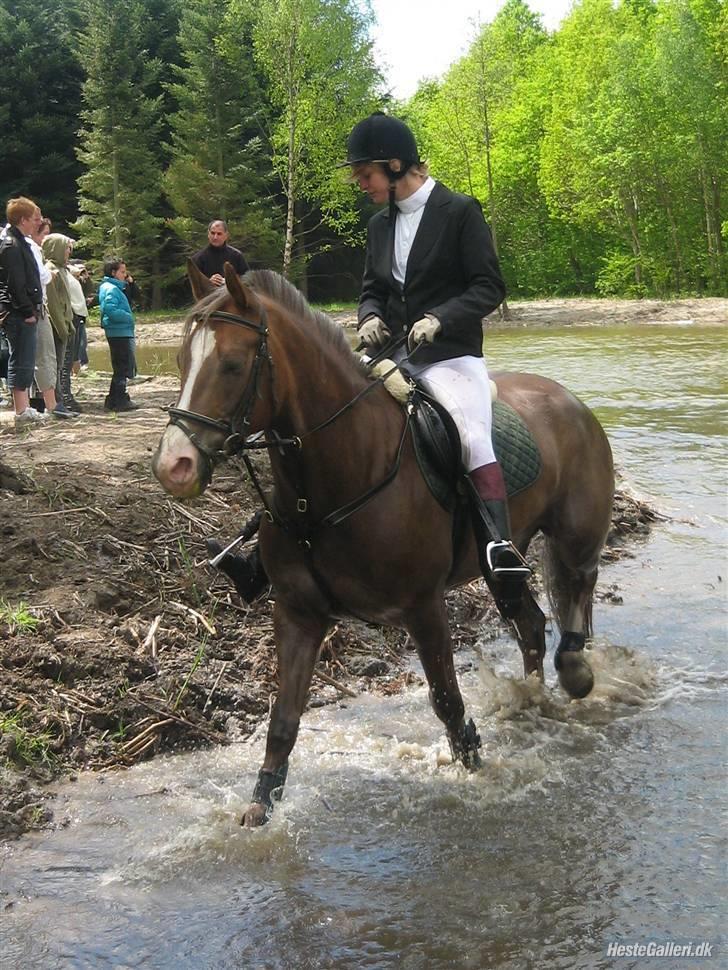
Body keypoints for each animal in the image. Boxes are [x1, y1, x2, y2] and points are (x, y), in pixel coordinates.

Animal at [152, 262, 616, 824]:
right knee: (528, 622)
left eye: (234, 365)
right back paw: (530, 701)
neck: (331, 483)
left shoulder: (424, 607)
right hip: (502, 564)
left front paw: (477, 774)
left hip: (575, 537)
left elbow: (448, 703)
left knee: (579, 588)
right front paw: (258, 810)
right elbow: (283, 720)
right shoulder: (298, 614)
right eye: (182, 361)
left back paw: (574, 673)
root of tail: (570, 400)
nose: (174, 467)